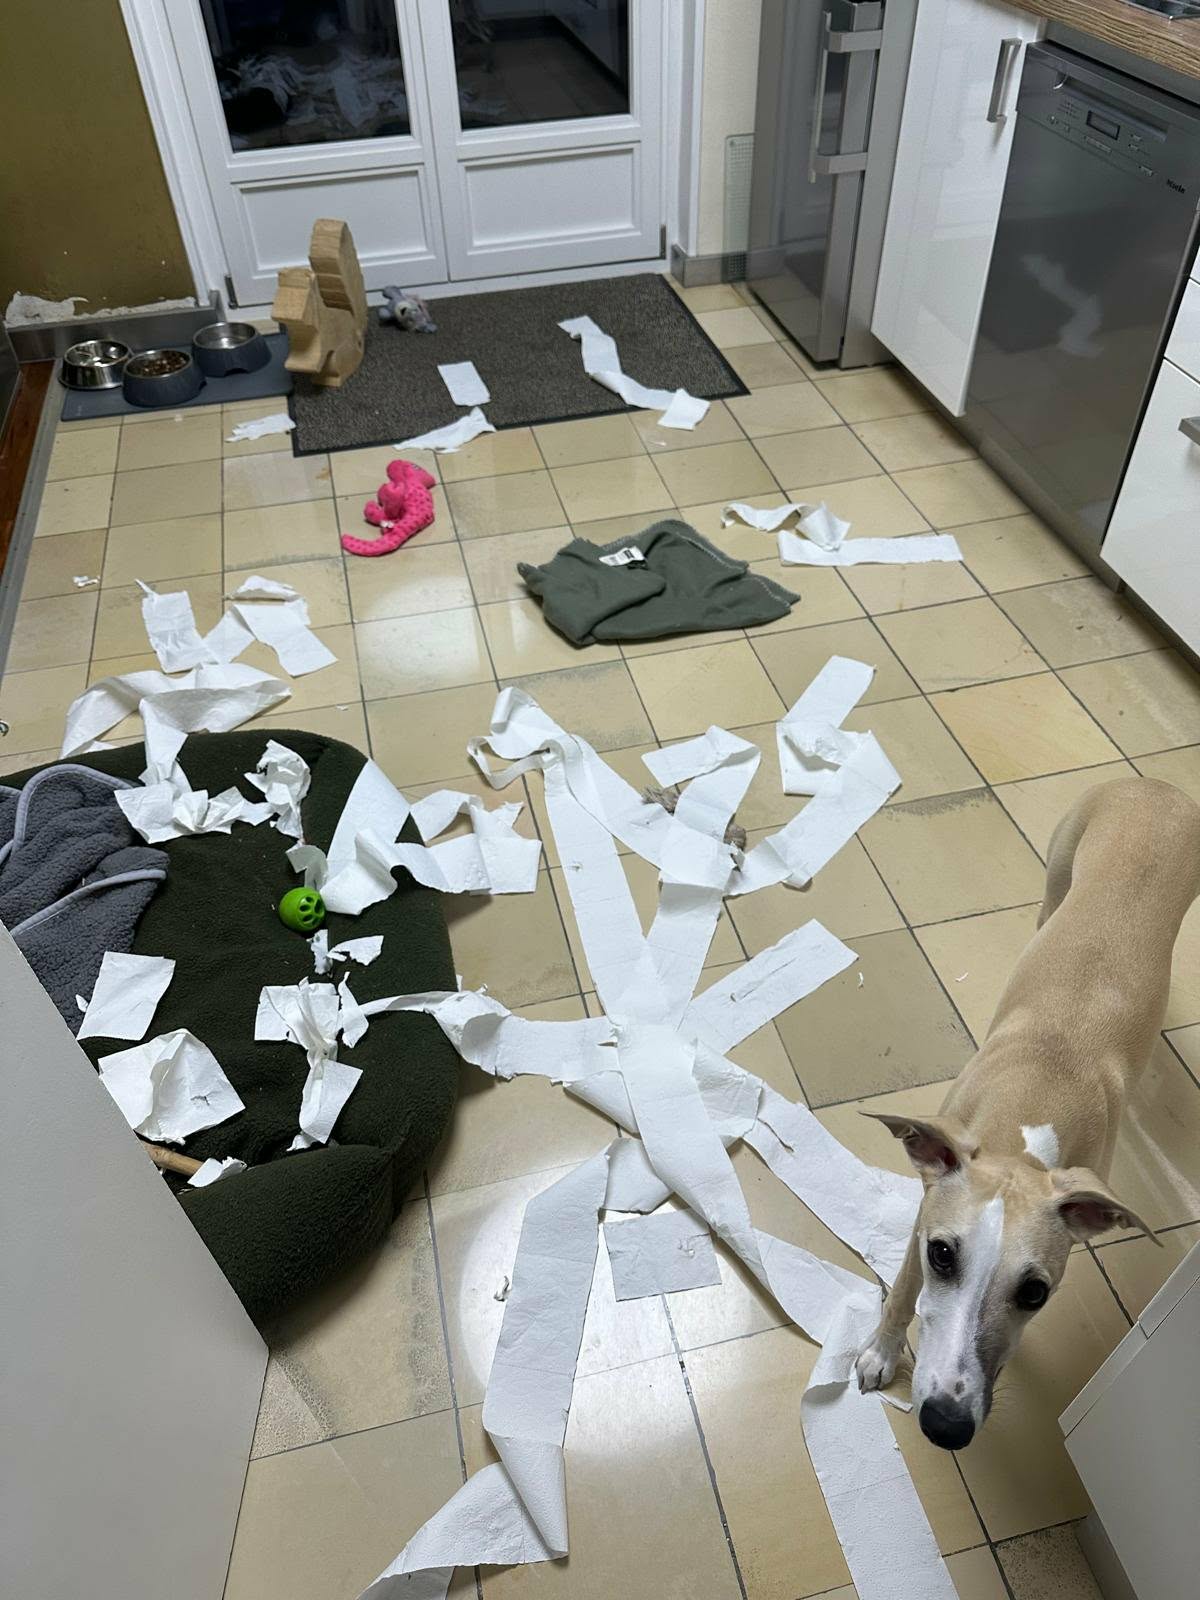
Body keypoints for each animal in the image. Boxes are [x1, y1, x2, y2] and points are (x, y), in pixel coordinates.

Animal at [854, 777, 1200, 1450]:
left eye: (1035, 1292)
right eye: (942, 1255)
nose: (946, 1427)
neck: (1038, 1106)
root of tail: (1154, 785)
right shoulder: (925, 1212)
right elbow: (903, 1291)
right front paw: (880, 1353)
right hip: (1059, 875)